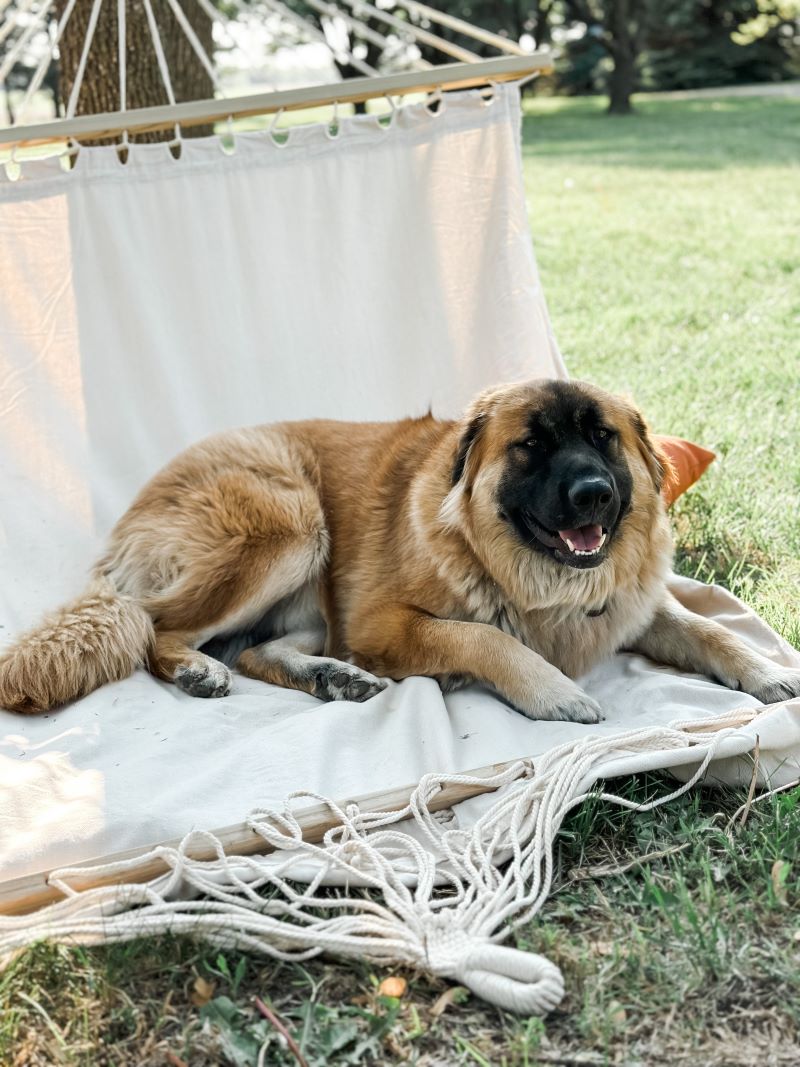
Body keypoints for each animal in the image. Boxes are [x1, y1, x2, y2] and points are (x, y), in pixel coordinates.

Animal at [1, 379, 800, 721]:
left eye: (602, 437)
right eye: (532, 446)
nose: (595, 495)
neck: (539, 582)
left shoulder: (634, 605)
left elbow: (707, 629)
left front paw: (766, 671)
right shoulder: (383, 622)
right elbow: (485, 636)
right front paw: (553, 689)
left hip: (310, 591)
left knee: (256, 651)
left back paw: (333, 679)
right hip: (293, 523)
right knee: (158, 629)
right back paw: (199, 670)